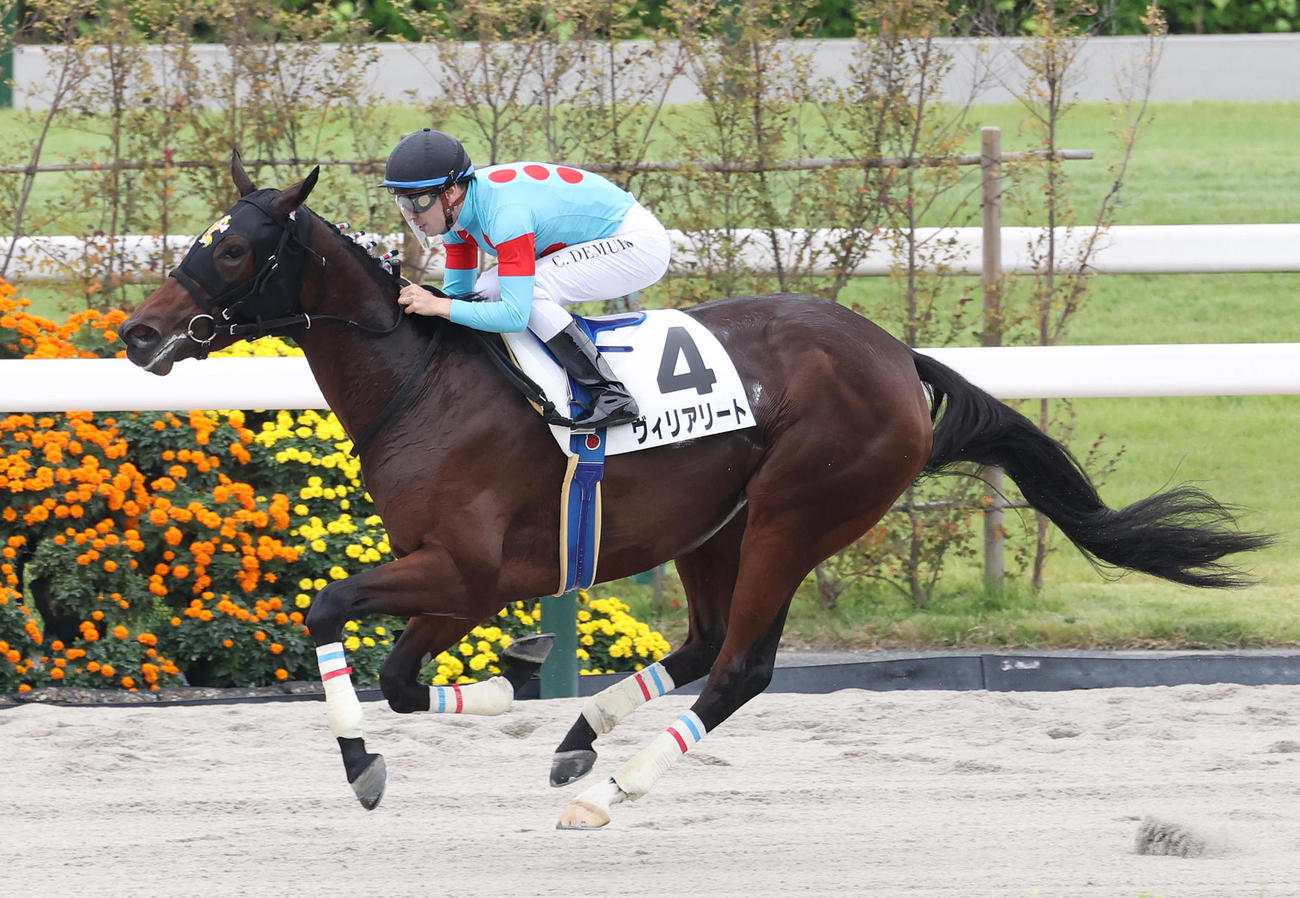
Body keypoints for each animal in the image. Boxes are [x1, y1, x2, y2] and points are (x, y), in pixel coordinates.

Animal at [120, 157, 1271, 828]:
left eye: (233, 248)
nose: (137, 332)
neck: (422, 381)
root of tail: (895, 355)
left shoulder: (467, 570)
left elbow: (333, 616)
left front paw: (375, 760)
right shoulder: (454, 578)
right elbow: (403, 678)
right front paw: (509, 688)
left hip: (797, 514)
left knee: (742, 665)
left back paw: (616, 787)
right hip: (713, 525)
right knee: (706, 642)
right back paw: (582, 742)